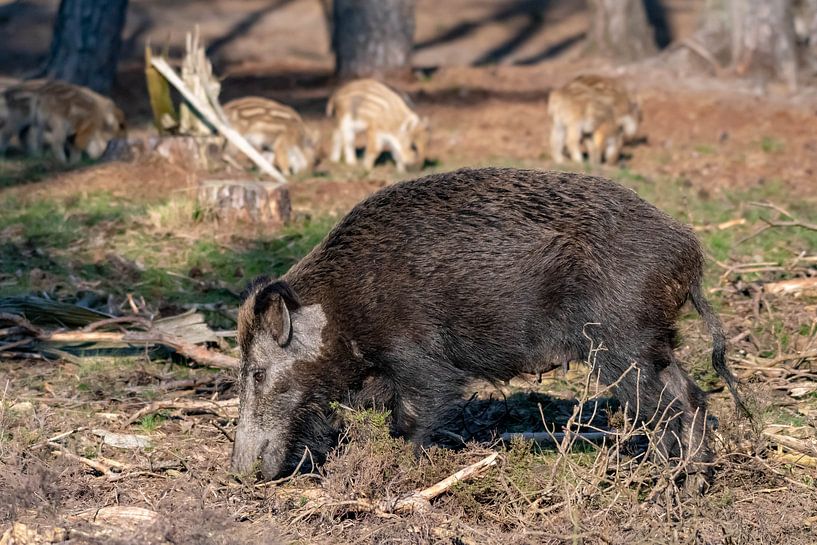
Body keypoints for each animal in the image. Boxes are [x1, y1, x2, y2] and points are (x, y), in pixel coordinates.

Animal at [231, 167, 745, 486]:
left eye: (256, 372)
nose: (239, 471)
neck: (341, 309)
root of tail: (689, 252)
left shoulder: (419, 358)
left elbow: (412, 417)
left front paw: (401, 470)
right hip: (652, 343)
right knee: (692, 397)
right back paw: (694, 484)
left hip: (622, 343)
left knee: (667, 409)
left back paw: (661, 486)